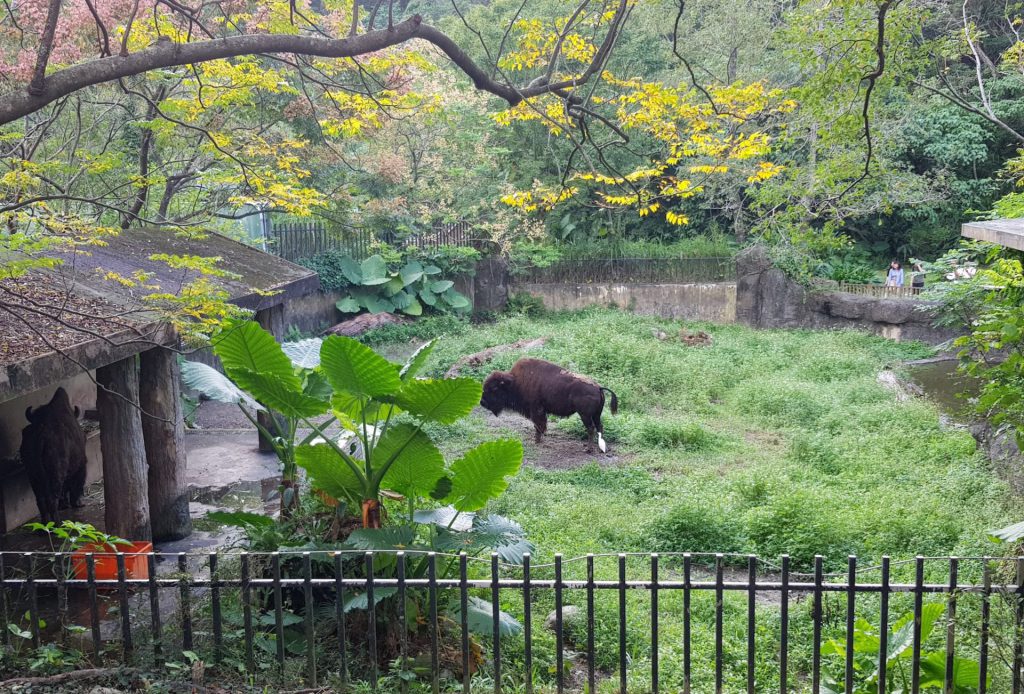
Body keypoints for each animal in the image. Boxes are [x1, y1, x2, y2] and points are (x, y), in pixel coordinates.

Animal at [18, 388, 87, 524]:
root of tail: (42, 434)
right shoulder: (81, 465)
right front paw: (77, 503)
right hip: (55, 475)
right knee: (52, 498)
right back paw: (58, 522)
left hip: (33, 477)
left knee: (40, 500)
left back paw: (45, 523)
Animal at [477, 358, 614, 456]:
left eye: (494, 388)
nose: (482, 402)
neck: (515, 382)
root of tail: (598, 387)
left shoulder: (536, 410)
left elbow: (538, 425)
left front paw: (537, 441)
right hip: (596, 414)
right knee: (599, 427)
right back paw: (601, 448)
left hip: (585, 415)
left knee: (590, 428)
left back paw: (588, 450)